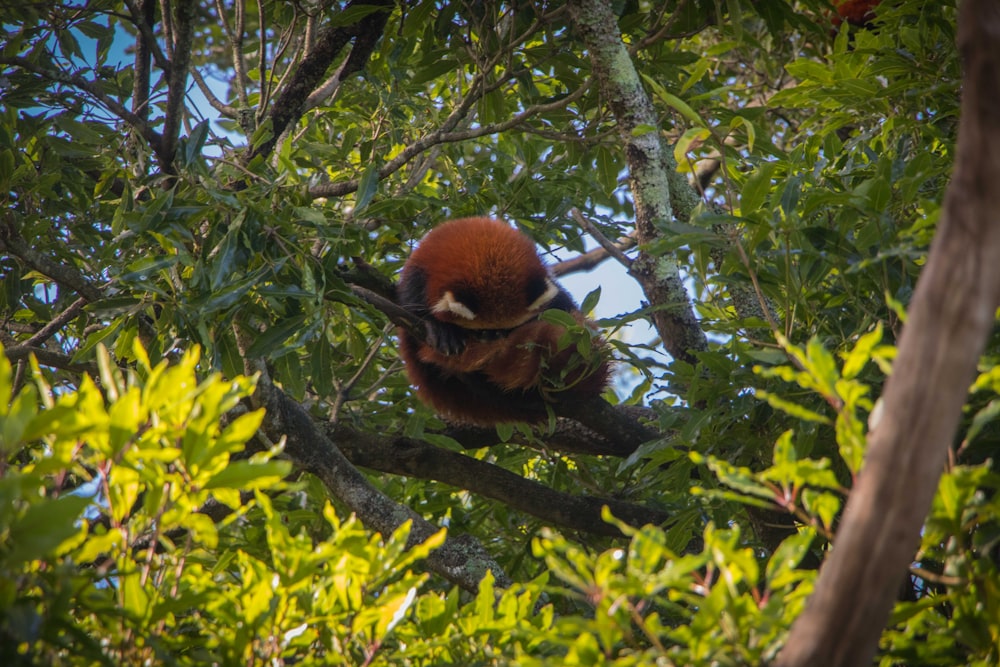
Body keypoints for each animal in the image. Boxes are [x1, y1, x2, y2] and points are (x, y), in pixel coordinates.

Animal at [398, 219, 608, 428]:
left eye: (510, 330)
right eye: (479, 331)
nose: (495, 339)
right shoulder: (421, 271)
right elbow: (413, 302)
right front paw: (440, 329)